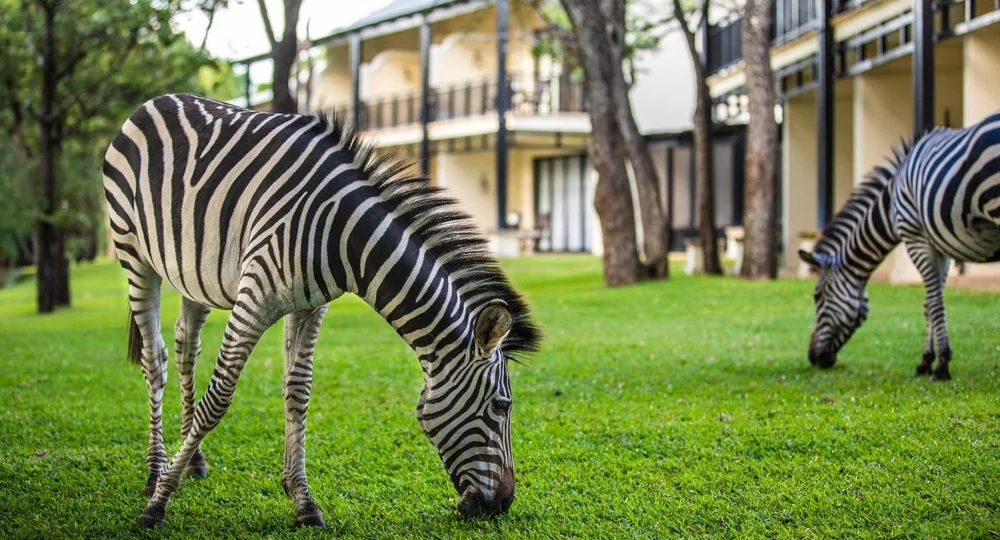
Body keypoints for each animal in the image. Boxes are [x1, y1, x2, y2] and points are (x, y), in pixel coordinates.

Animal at [102, 93, 542, 529]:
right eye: (501, 406)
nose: (503, 503)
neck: (344, 237)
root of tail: (159, 99)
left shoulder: (311, 305)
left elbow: (298, 391)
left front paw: (302, 501)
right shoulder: (255, 296)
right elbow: (219, 398)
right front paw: (158, 503)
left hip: (192, 273)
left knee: (185, 346)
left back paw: (192, 460)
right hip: (133, 253)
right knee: (154, 359)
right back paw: (154, 471)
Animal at [798, 110, 1000, 380]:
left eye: (817, 296)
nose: (814, 358)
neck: (891, 202)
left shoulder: (915, 237)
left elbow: (934, 303)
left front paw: (941, 365)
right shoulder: (940, 245)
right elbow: (930, 303)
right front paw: (926, 361)